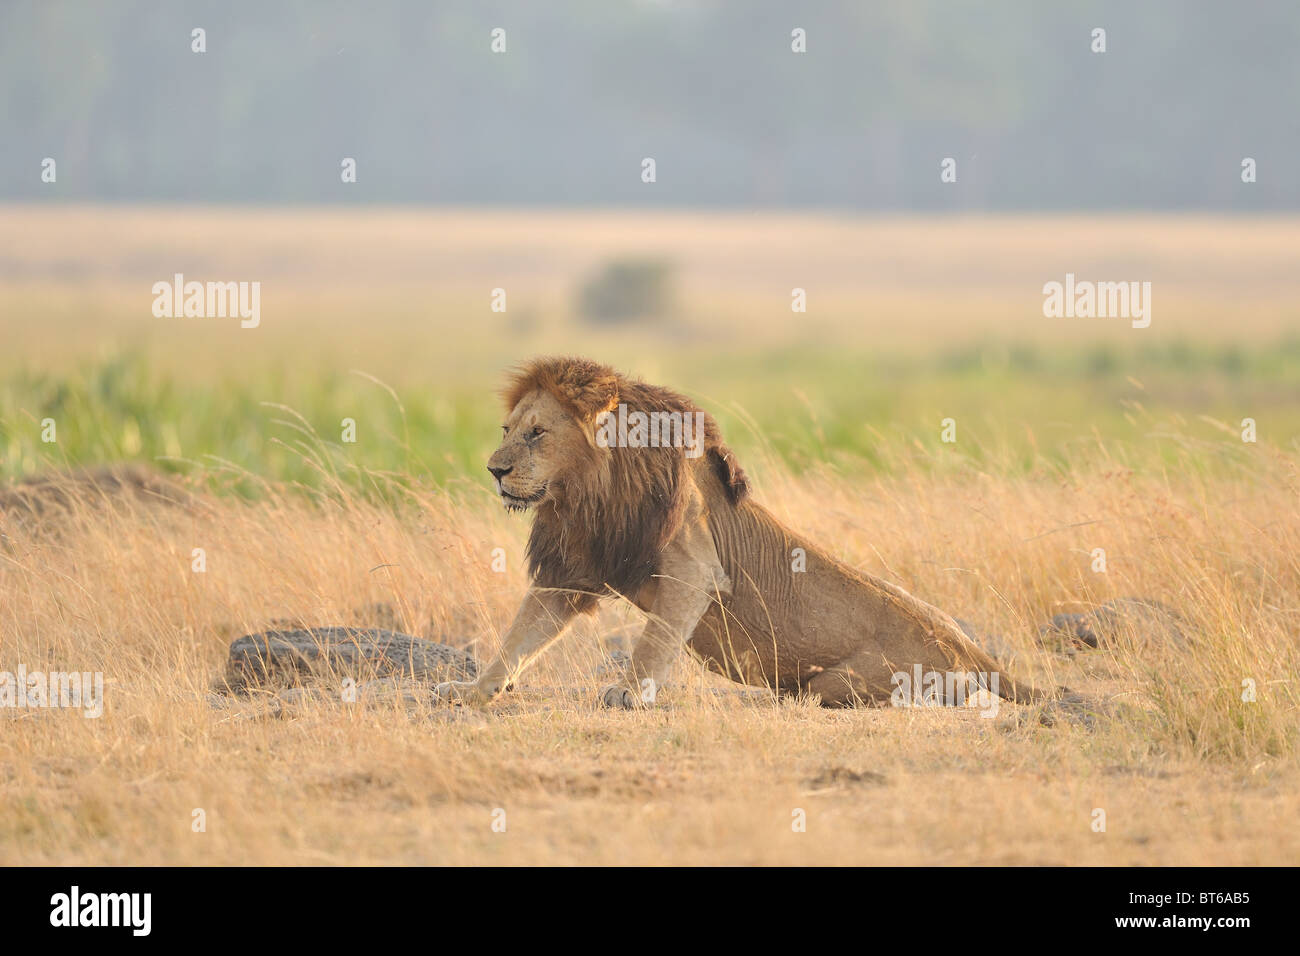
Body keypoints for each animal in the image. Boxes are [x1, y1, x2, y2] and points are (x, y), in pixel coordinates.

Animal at [434, 356, 1050, 709]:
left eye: (537, 433)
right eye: (507, 429)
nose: (494, 470)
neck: (590, 492)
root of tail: (973, 649)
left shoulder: (693, 564)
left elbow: (653, 640)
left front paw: (629, 692)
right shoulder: (573, 571)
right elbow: (518, 637)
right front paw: (474, 690)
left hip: (839, 684)